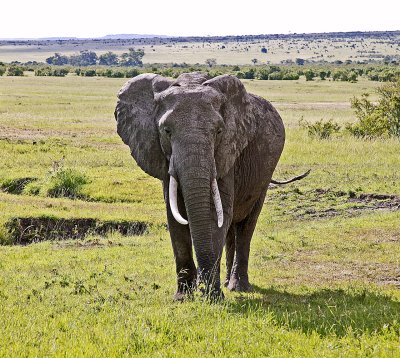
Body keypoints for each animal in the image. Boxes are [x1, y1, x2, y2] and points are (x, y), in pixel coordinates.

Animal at [114, 71, 308, 300]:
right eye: (166, 131)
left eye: (219, 132)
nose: (203, 289)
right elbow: (175, 217)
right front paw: (183, 298)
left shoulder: (227, 153)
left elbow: (216, 215)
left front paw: (212, 297)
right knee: (232, 228)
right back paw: (226, 284)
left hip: (264, 174)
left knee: (246, 226)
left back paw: (237, 287)